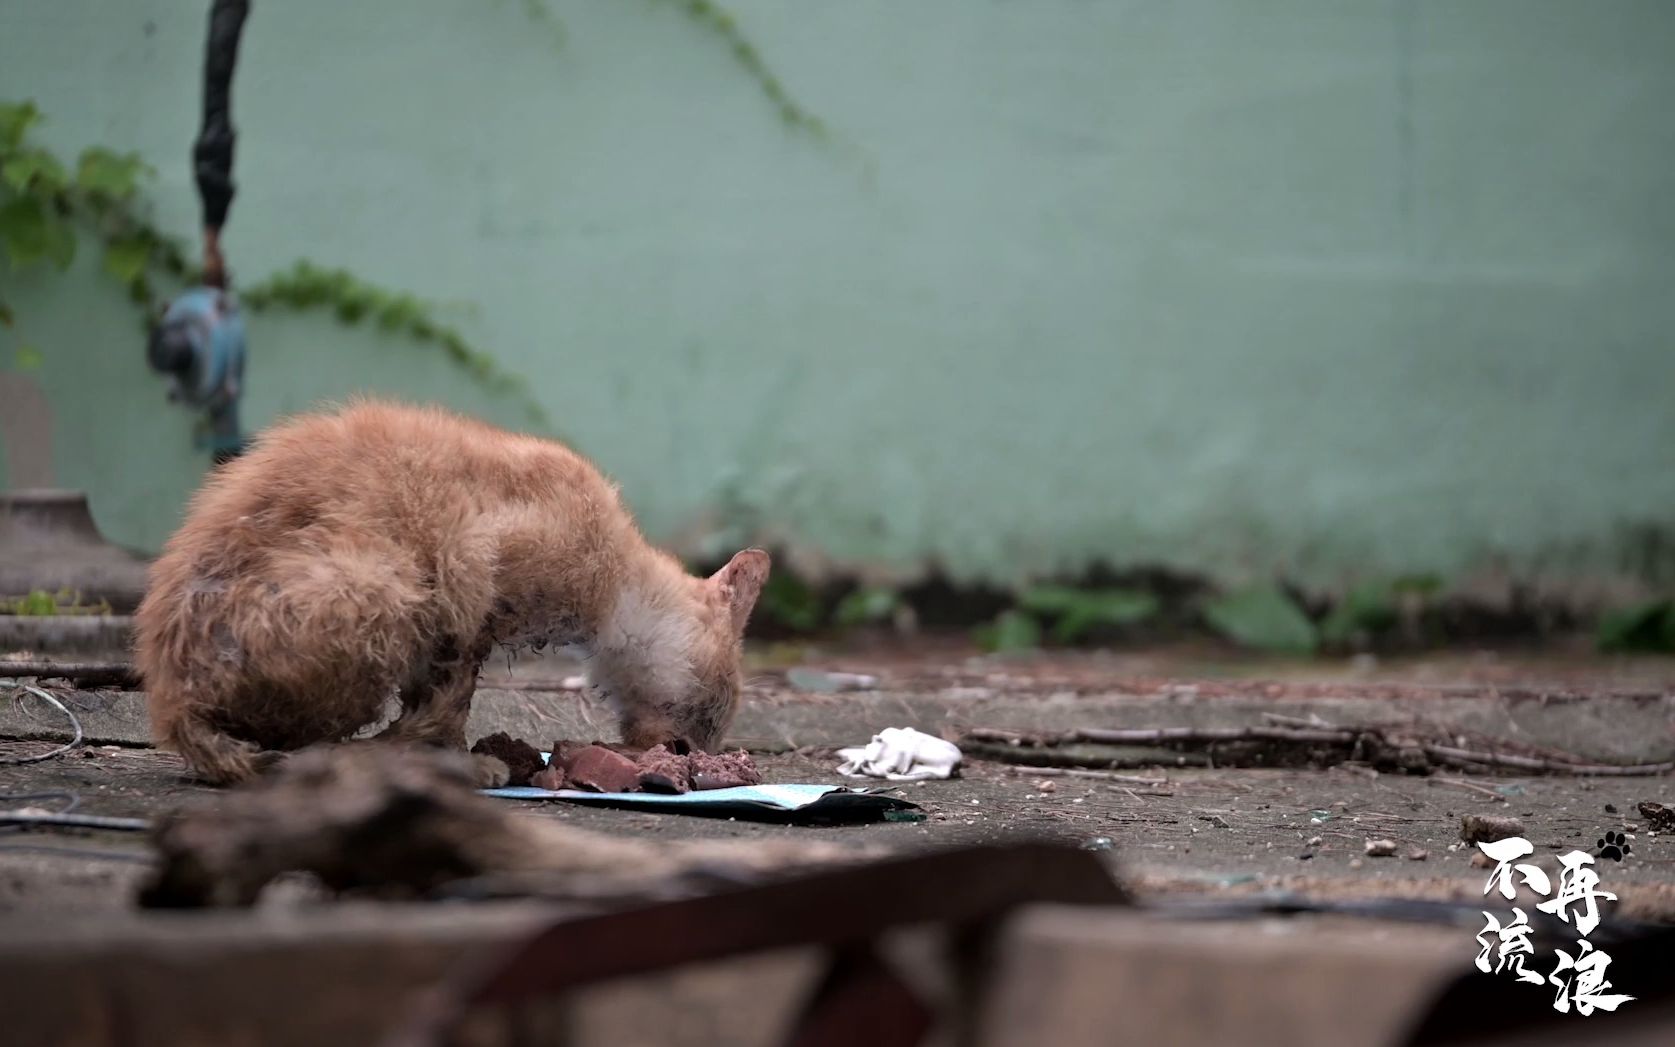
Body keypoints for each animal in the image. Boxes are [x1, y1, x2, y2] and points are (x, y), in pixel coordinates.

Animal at [134, 398, 767, 783]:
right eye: (708, 715)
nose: (690, 754)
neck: (617, 584)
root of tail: (173, 700)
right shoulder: (470, 583)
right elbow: (450, 702)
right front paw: (459, 762)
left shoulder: (454, 625)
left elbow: (439, 698)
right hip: (380, 585)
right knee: (307, 747)